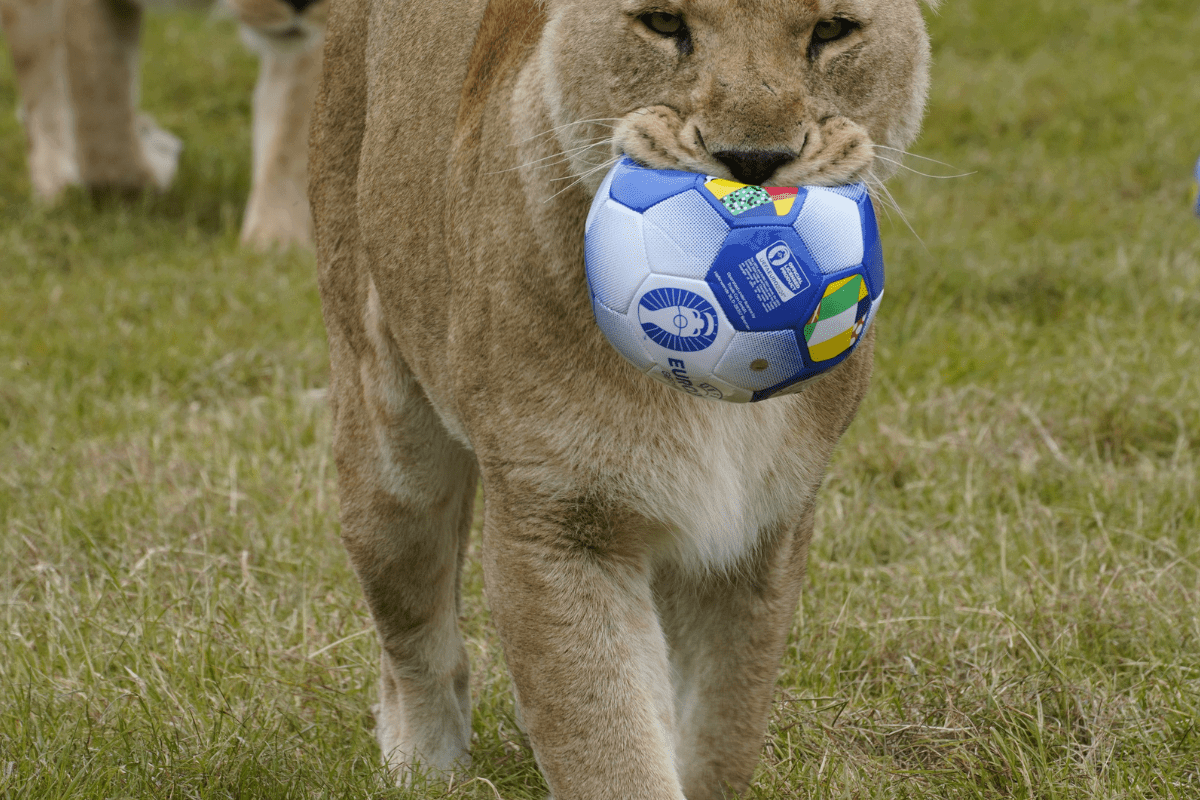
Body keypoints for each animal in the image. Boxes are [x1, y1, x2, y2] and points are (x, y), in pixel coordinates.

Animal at [0, 0, 327, 248]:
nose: (301, 2)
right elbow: (105, 134)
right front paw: (158, 159)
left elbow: (291, 122)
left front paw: (274, 241)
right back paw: (56, 185)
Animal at [309, 0, 935, 797]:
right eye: (663, 23)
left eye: (831, 31)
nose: (753, 163)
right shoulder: (560, 523)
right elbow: (608, 746)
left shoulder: (759, 533)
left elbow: (722, 730)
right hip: (389, 454)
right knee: (416, 634)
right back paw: (425, 767)